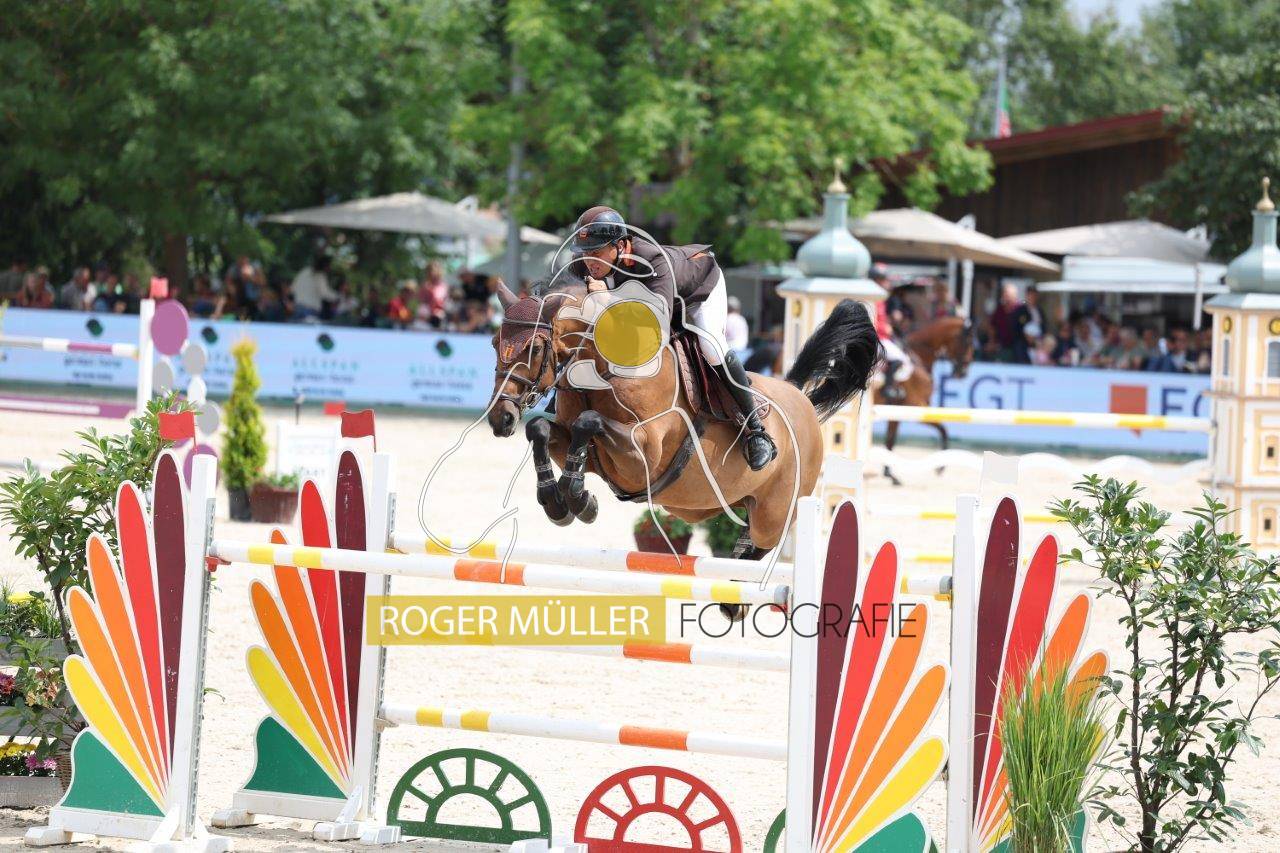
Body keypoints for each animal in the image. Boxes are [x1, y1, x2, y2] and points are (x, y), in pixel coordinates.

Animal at [487, 281, 879, 559]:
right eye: (493, 343)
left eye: (535, 348)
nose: (500, 419)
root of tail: (798, 395)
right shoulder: (578, 443)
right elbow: (540, 427)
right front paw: (559, 501)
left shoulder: (642, 454)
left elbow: (589, 421)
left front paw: (578, 498)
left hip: (777, 510)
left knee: (764, 542)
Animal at [872, 314, 973, 485]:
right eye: (967, 342)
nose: (963, 372)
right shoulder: (915, 406)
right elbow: (943, 429)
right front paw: (941, 468)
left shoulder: (899, 411)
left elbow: (890, 440)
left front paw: (889, 474)